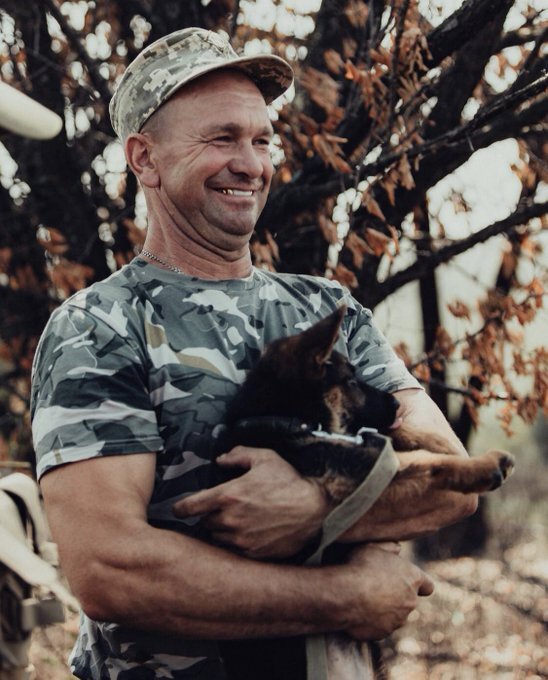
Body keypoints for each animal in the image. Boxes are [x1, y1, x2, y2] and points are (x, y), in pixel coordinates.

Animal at [177, 306, 512, 676]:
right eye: (350, 381)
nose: (396, 404)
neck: (280, 415)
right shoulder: (350, 467)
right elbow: (420, 460)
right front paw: (482, 465)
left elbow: (397, 440)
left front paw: (439, 441)